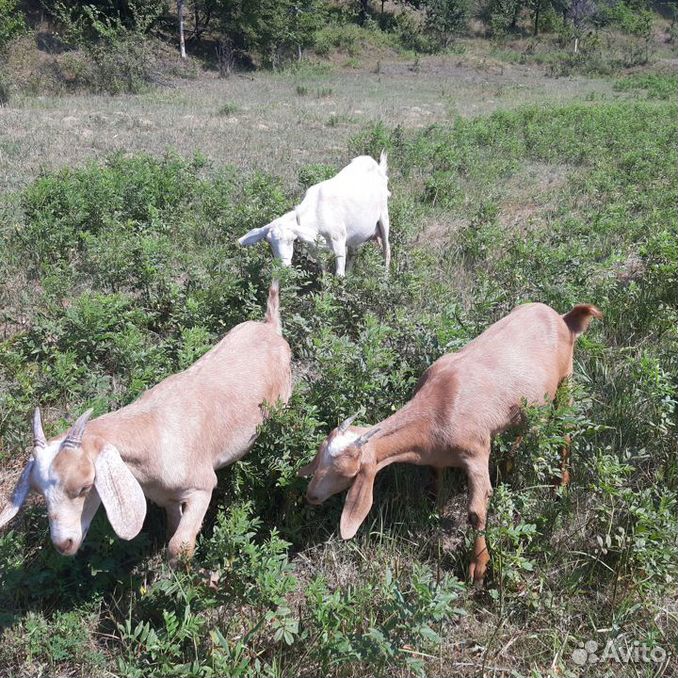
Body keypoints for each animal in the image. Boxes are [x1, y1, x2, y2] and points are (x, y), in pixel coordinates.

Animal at [0, 282, 292, 564]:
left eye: (84, 487)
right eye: (39, 491)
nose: (64, 544)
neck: (153, 433)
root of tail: (270, 327)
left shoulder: (202, 485)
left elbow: (179, 546)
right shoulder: (164, 496)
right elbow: (172, 527)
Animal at [238, 153, 390, 278]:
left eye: (291, 240)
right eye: (269, 241)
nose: (282, 268)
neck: (316, 214)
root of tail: (377, 167)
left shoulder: (339, 241)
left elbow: (339, 274)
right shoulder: (315, 248)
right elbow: (323, 271)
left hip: (384, 216)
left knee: (387, 251)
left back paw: (385, 279)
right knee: (354, 253)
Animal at [300, 302, 604, 584]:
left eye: (347, 473)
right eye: (320, 457)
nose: (310, 495)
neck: (438, 407)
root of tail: (564, 319)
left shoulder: (477, 451)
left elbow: (476, 511)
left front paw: (478, 567)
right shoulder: (436, 455)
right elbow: (435, 480)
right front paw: (437, 509)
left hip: (566, 381)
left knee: (565, 430)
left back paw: (561, 483)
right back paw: (509, 465)